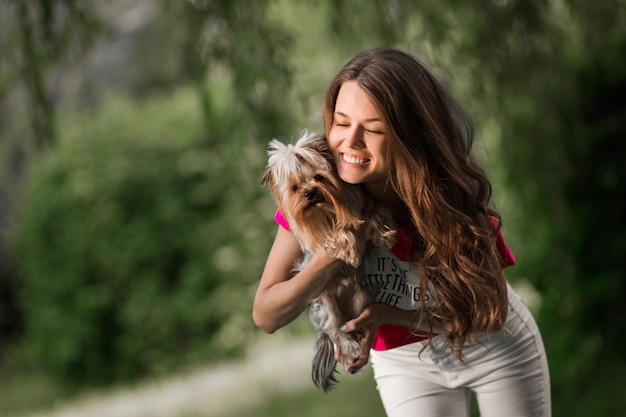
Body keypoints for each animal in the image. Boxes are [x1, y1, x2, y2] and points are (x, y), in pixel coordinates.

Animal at [260, 130, 392, 390]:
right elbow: (335, 237)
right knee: (333, 329)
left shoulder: (364, 203)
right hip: (324, 303)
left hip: (361, 300)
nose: (309, 193)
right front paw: (346, 245)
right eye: (294, 188)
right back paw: (349, 348)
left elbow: (376, 213)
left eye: (319, 177)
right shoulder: (319, 239)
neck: (324, 210)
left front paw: (381, 231)